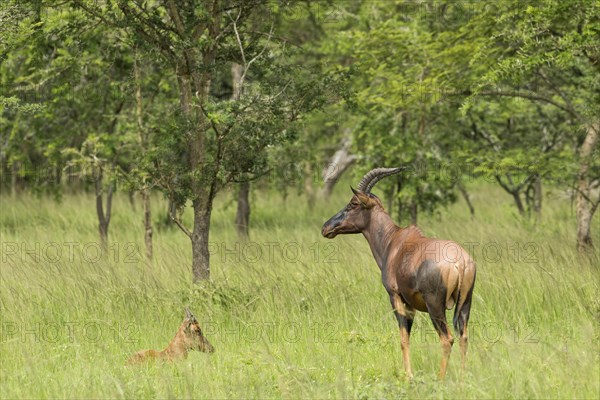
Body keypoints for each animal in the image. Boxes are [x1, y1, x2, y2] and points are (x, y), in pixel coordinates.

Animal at [322, 167, 476, 380]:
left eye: (354, 203)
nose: (326, 228)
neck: (394, 240)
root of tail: (460, 262)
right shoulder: (410, 304)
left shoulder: (395, 296)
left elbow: (403, 338)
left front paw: (408, 375)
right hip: (465, 303)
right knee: (463, 337)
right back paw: (461, 377)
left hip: (435, 306)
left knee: (447, 339)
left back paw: (440, 378)